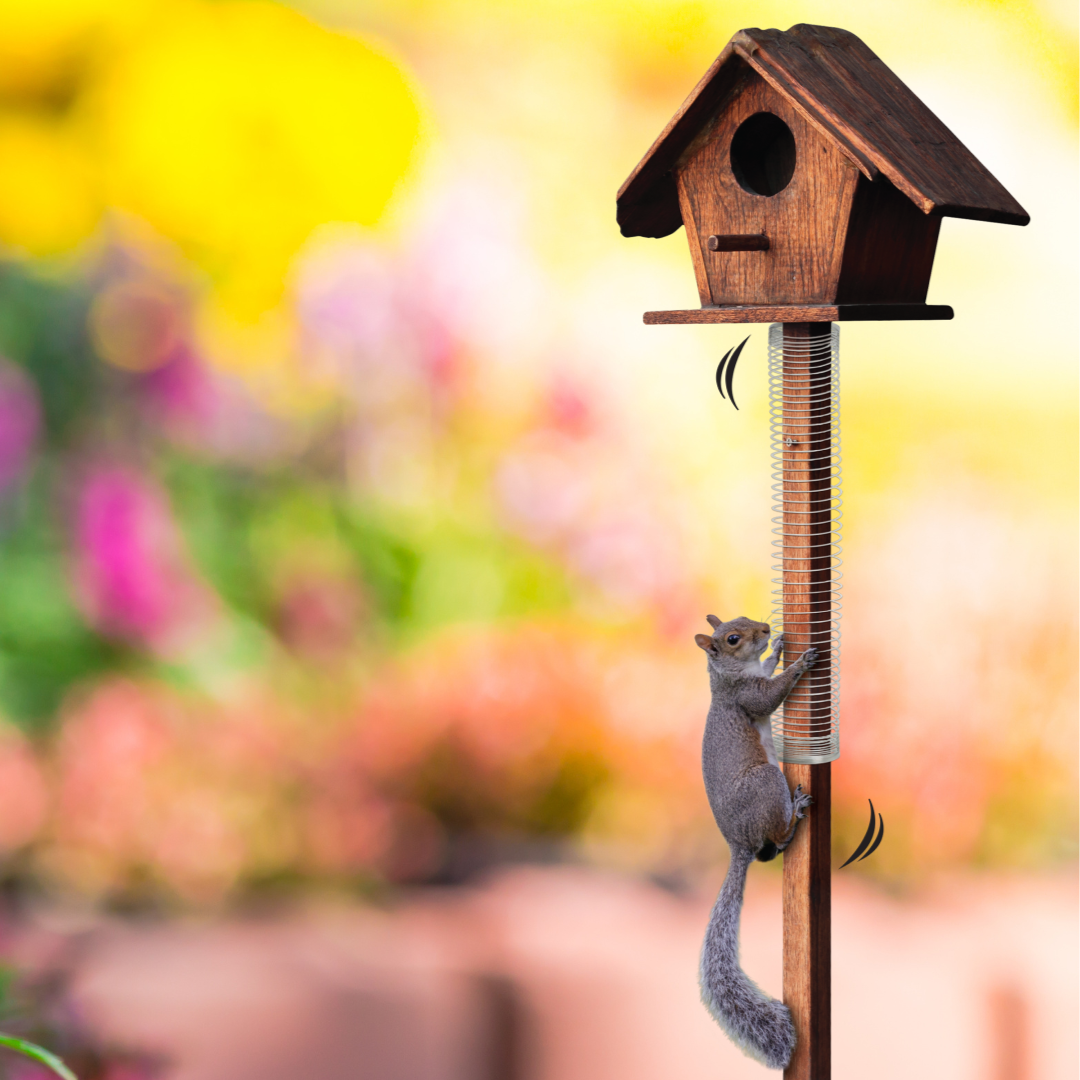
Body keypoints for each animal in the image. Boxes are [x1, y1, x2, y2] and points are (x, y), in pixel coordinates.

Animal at [695, 617, 812, 1071]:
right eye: (732, 638)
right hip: (767, 781)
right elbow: (769, 696)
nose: (764, 628)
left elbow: (768, 670)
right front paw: (799, 663)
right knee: (777, 837)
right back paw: (795, 812)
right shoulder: (747, 696)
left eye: (745, 622)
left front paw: (778, 647)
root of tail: (738, 845)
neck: (728, 675)